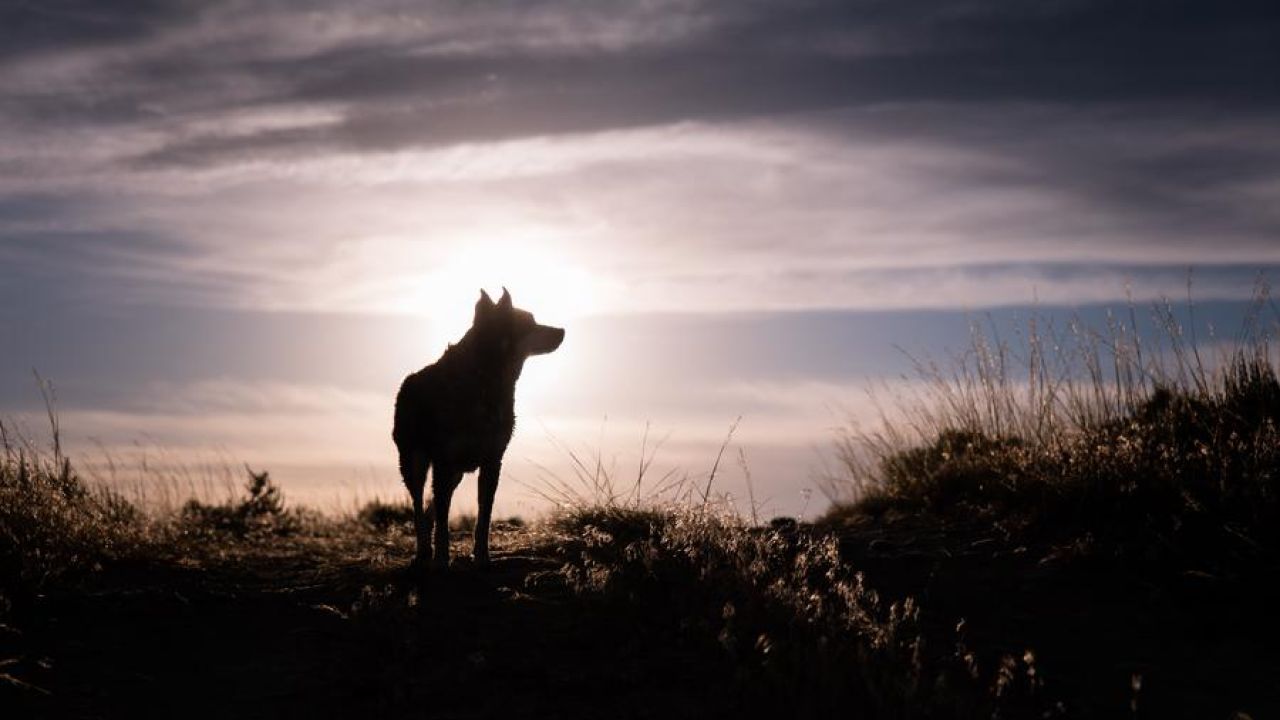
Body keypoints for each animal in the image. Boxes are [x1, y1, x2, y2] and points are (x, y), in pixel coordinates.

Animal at [393, 288, 564, 570]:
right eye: (530, 322)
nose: (562, 331)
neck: (484, 379)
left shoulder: (492, 461)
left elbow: (483, 517)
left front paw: (482, 557)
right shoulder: (443, 461)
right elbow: (443, 520)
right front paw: (441, 559)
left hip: (456, 473)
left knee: (431, 506)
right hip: (415, 464)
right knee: (420, 505)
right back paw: (423, 552)